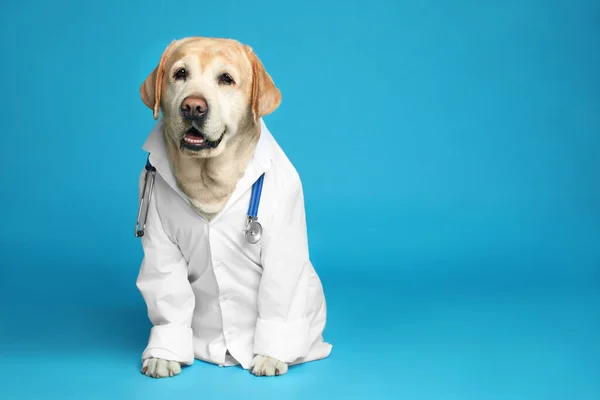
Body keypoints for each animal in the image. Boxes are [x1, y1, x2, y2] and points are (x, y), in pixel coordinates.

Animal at [136, 35, 332, 378]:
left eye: (226, 79)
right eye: (180, 73)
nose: (193, 106)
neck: (208, 179)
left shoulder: (282, 244)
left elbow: (278, 297)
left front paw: (270, 356)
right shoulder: (160, 243)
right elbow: (168, 298)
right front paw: (163, 355)